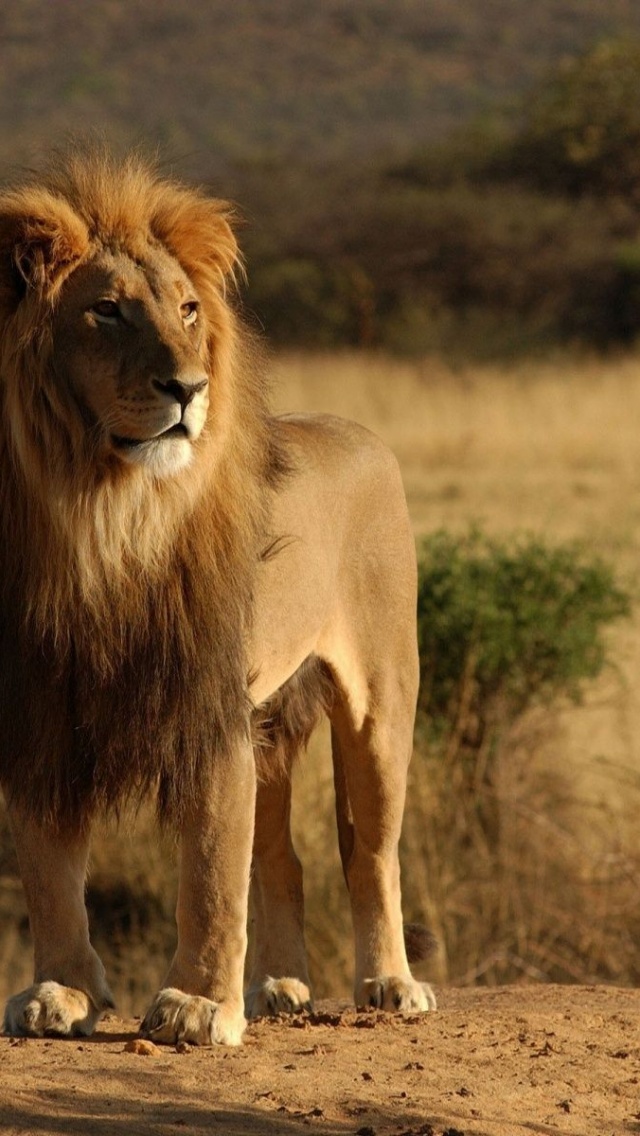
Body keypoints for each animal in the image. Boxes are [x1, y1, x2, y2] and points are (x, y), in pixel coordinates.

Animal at [0, 151, 436, 1045]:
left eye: (188, 309)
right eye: (106, 311)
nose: (188, 387)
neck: (103, 516)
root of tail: (361, 432)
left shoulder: (208, 709)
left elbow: (208, 869)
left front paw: (197, 1004)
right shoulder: (42, 705)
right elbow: (50, 869)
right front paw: (61, 991)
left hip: (380, 702)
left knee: (370, 852)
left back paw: (390, 983)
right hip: (268, 723)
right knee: (282, 860)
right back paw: (279, 986)